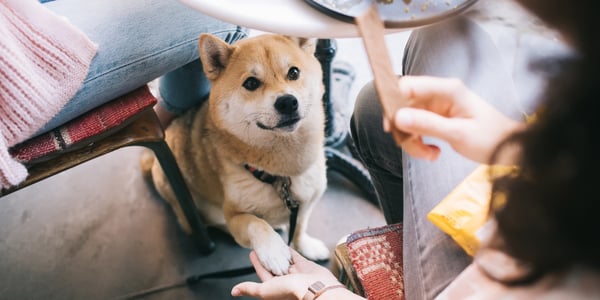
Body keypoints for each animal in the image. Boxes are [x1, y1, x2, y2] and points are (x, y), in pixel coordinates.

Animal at [142, 34, 328, 276]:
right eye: (251, 83)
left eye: (293, 73)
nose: (287, 102)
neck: (281, 174)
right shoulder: (235, 215)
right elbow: (255, 223)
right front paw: (273, 251)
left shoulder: (306, 203)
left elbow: (299, 228)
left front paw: (306, 246)